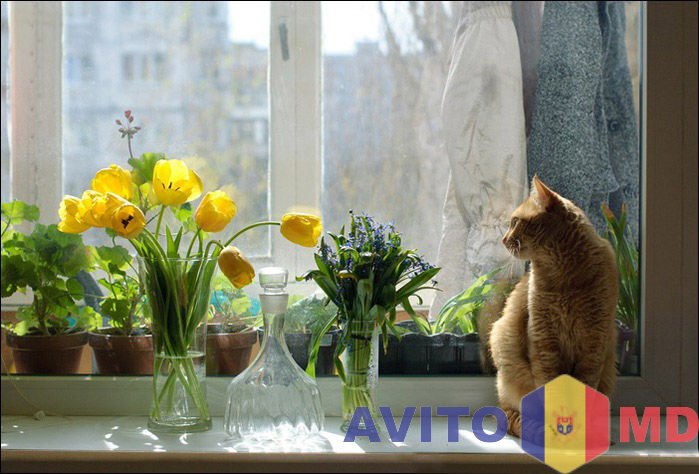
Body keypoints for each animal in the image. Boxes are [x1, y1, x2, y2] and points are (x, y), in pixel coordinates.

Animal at [489, 175, 619, 437]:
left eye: (515, 222)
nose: (504, 240)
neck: (564, 276)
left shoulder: (594, 343)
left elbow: (584, 387)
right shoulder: (544, 341)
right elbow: (551, 388)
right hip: (504, 348)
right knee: (509, 414)